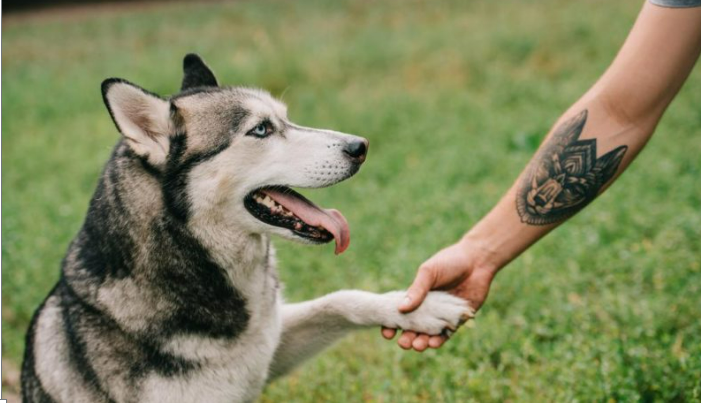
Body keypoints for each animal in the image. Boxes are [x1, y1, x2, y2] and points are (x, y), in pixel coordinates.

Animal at [20, 54, 470, 403]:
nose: (360, 146)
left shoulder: (267, 348)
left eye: (286, 119)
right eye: (261, 130)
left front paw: (416, 308)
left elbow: (340, 299)